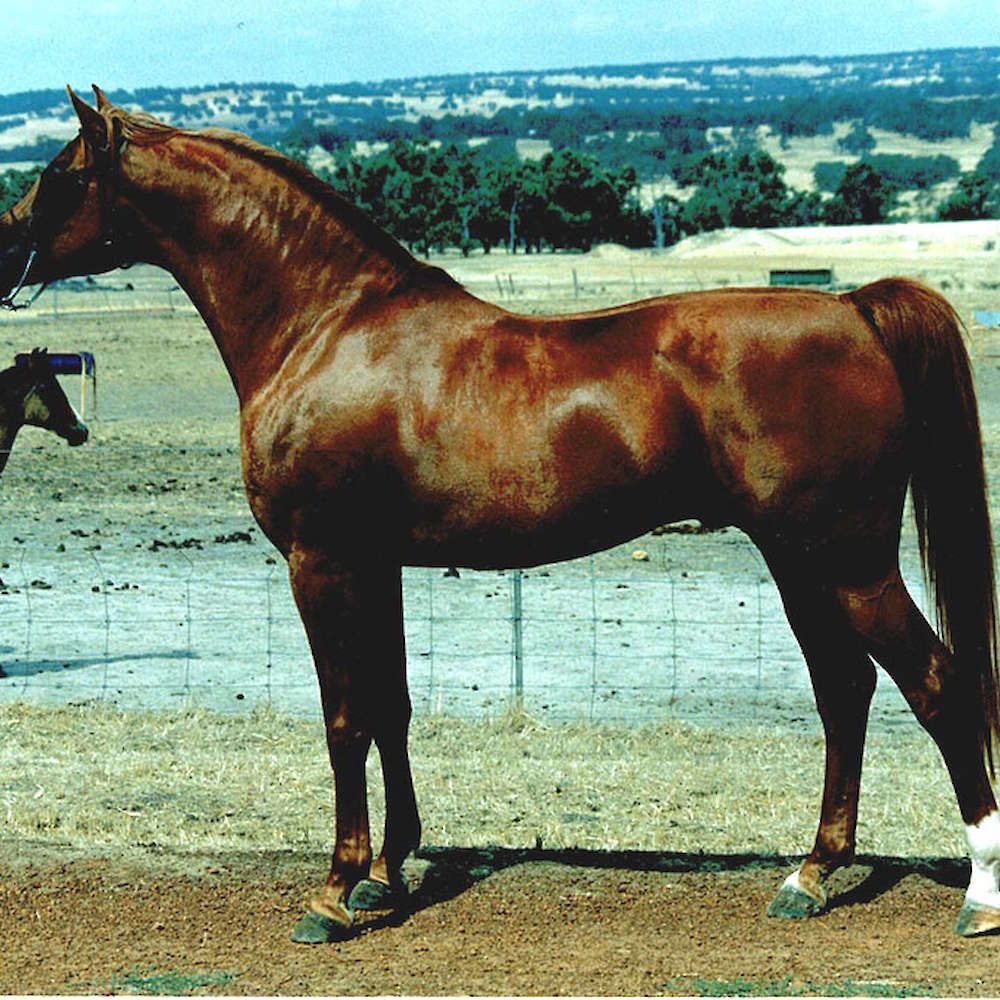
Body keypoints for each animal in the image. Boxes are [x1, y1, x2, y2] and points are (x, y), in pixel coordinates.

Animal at [1, 86, 998, 944]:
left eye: (59, 172)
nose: (3, 243)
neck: (328, 327)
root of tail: (853, 308)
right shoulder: (377, 563)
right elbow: (392, 706)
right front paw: (388, 873)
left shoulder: (321, 561)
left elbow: (343, 719)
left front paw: (334, 892)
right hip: (800, 563)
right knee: (847, 693)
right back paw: (811, 876)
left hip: (848, 562)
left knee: (937, 685)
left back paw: (979, 893)